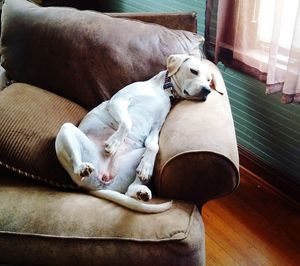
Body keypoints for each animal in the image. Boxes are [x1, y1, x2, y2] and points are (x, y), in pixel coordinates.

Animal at [55, 53, 223, 213]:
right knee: (76, 168)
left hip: (132, 161)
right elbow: (127, 123)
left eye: (209, 80)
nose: (207, 90)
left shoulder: (156, 127)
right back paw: (82, 168)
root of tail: (98, 184)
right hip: (67, 130)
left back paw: (140, 191)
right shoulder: (118, 101)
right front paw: (114, 143)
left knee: (129, 190)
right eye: (193, 71)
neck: (162, 90)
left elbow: (153, 146)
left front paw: (146, 166)